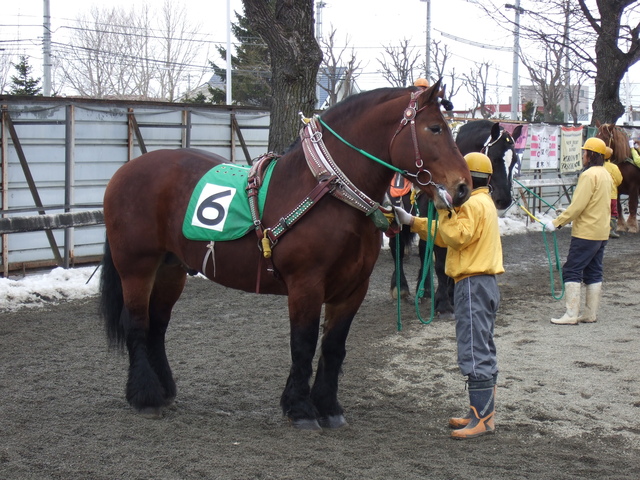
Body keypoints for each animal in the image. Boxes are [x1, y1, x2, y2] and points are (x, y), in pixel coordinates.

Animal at [99, 80, 472, 431]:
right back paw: (145, 397)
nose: (463, 187)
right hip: (136, 268)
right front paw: (301, 409)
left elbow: (333, 346)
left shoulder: (352, 289)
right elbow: (303, 344)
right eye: (435, 128)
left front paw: (329, 407)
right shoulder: (306, 285)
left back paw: (164, 390)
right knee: (137, 324)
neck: (329, 192)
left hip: (171, 269)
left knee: (158, 326)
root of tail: (126, 171)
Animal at [387, 119, 522, 316]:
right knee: (396, 247)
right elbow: (441, 263)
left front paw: (449, 295)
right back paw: (400, 288)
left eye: (514, 161)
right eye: (495, 158)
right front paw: (443, 303)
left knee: (422, 249)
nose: (504, 199)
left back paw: (424, 290)